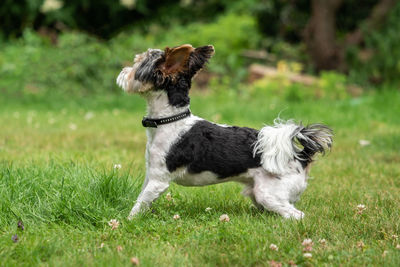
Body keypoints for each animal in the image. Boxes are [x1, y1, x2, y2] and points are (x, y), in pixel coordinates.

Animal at [115, 43, 332, 220]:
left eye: (137, 64)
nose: (124, 70)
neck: (170, 120)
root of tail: (300, 156)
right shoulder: (150, 175)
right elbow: (142, 199)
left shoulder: (158, 180)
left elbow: (139, 204)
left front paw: (126, 222)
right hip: (258, 193)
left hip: (269, 193)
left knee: (296, 215)